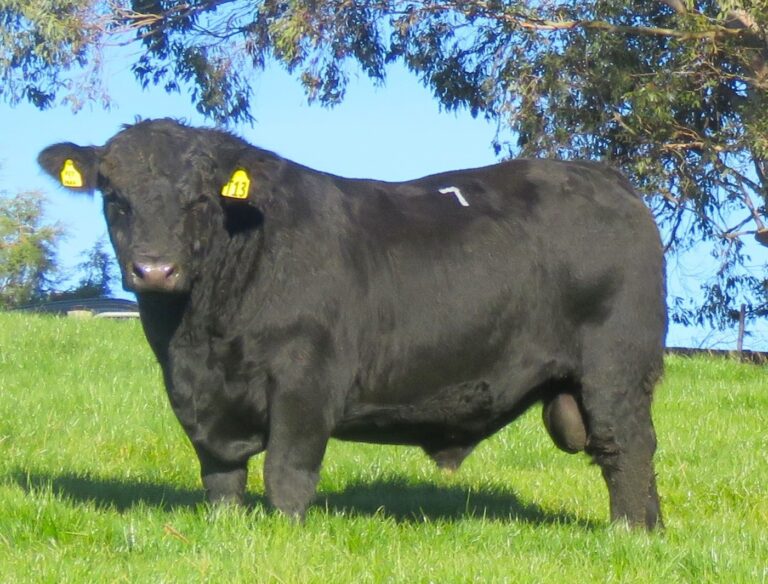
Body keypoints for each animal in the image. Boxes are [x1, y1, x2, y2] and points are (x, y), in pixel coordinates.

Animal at [39, 118, 667, 529]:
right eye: (114, 198)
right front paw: (228, 533)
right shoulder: (198, 397)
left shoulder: (305, 381)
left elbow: (287, 473)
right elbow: (220, 476)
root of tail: (606, 179)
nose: (154, 269)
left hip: (616, 368)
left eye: (200, 200)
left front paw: (281, 539)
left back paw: (628, 534)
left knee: (626, 446)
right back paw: (651, 532)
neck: (198, 336)